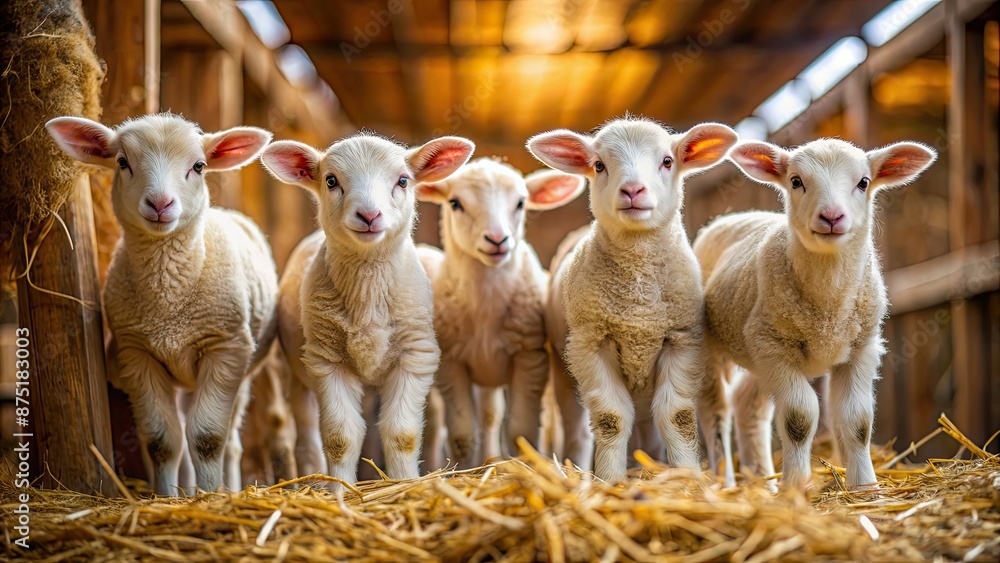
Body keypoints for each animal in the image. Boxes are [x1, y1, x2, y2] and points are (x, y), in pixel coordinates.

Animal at [45, 113, 276, 494]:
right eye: (122, 162)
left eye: (199, 166)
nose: (160, 204)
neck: (168, 303)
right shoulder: (138, 353)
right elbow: (162, 441)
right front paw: (168, 496)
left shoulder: (226, 348)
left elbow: (208, 438)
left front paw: (210, 497)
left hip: (239, 369)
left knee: (229, 442)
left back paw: (227, 488)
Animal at [260, 131, 474, 484]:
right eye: (331, 180)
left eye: (403, 180)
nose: (369, 216)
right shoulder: (327, 361)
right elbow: (340, 438)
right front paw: (341, 490)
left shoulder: (414, 356)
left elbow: (403, 435)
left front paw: (405, 484)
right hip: (296, 373)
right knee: (306, 438)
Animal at [414, 158, 584, 468]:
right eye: (455, 203)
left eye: (520, 203)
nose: (497, 239)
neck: (486, 307)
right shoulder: (451, 363)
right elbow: (462, 436)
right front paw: (463, 471)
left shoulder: (530, 358)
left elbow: (520, 432)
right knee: (440, 427)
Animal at [528, 119, 740, 480]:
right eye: (599, 165)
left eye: (667, 161)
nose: (632, 191)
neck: (638, 306)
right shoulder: (592, 342)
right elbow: (610, 419)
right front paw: (610, 480)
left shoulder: (681, 340)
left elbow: (677, 417)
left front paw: (687, 477)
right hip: (563, 365)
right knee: (578, 429)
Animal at [696, 137, 936, 490]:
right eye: (796, 181)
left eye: (864, 182)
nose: (832, 216)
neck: (828, 307)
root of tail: (732, 216)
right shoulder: (775, 350)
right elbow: (799, 419)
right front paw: (795, 488)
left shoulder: (861, 348)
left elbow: (858, 421)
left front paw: (865, 488)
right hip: (715, 344)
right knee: (716, 411)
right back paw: (725, 482)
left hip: (755, 350)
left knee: (747, 406)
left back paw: (761, 482)